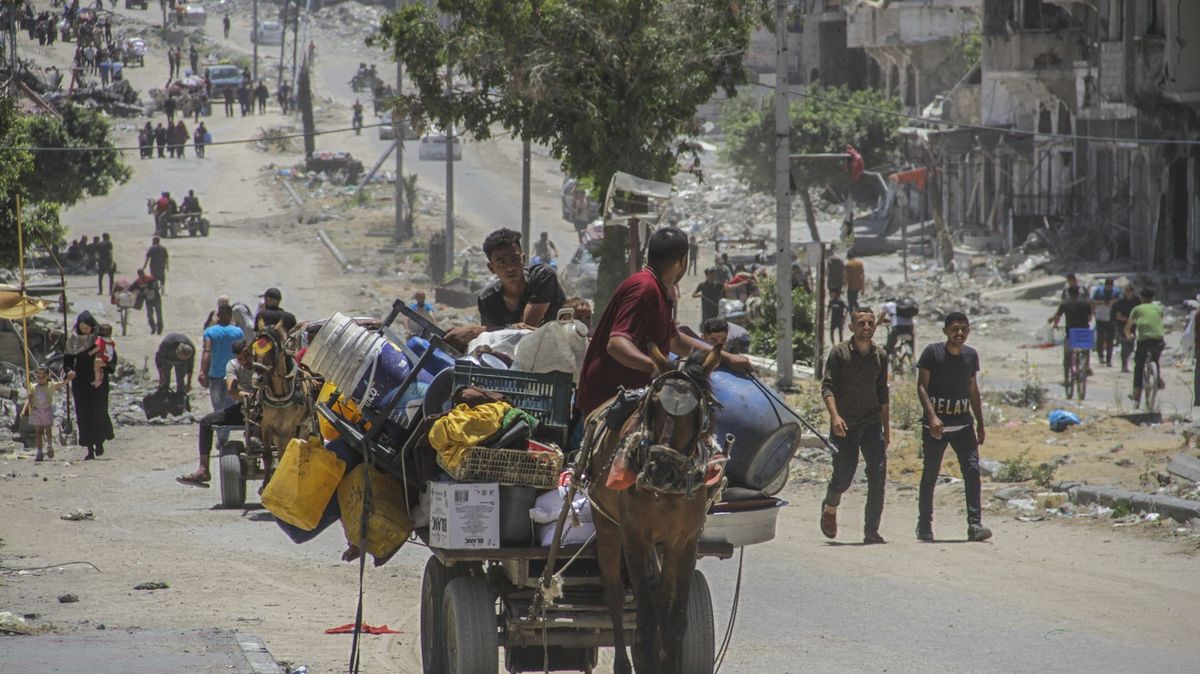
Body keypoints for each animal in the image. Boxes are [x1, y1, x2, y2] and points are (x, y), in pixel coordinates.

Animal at [252, 323, 314, 479]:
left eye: (272, 350)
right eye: (253, 347)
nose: (257, 379)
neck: (279, 395)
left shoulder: (289, 427)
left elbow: (284, 453)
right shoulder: (266, 425)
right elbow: (267, 455)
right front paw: (266, 482)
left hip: (302, 427)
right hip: (277, 433)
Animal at [588, 345, 720, 671]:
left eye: (697, 412)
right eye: (656, 404)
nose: (659, 468)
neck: (667, 490)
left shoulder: (685, 540)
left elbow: (674, 619)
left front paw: (666, 662)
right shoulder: (634, 538)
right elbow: (646, 620)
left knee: (660, 596)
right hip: (607, 525)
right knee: (615, 596)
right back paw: (623, 663)